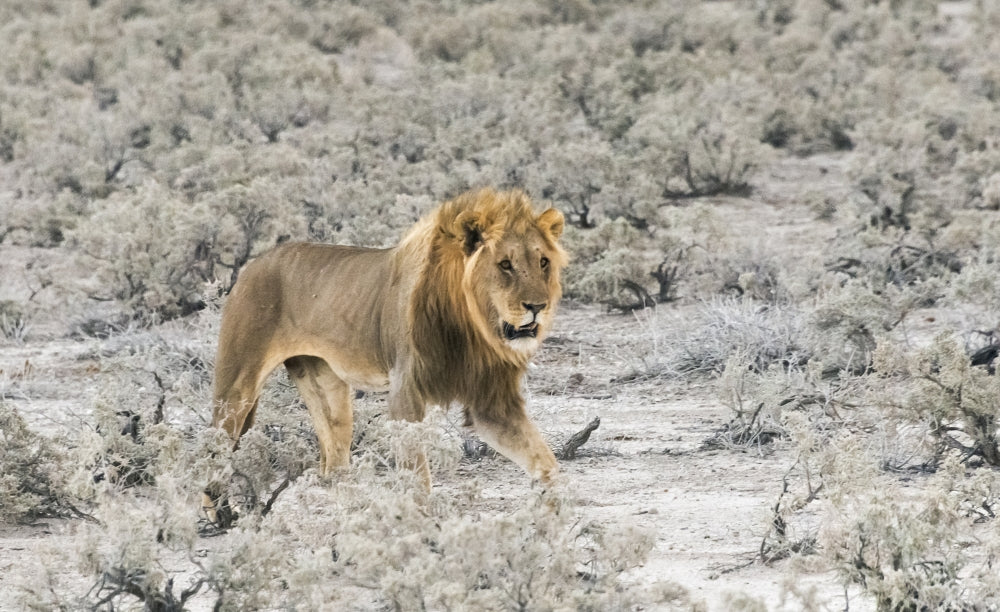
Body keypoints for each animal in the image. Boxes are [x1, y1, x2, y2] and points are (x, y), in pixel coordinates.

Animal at [205, 188, 566, 516]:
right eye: (505, 264)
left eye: (543, 262)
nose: (538, 307)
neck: (473, 325)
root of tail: (253, 264)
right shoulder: (405, 390)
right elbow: (417, 472)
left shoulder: (490, 403)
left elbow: (545, 461)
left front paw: (552, 516)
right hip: (237, 384)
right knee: (213, 448)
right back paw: (219, 513)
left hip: (324, 383)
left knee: (335, 462)